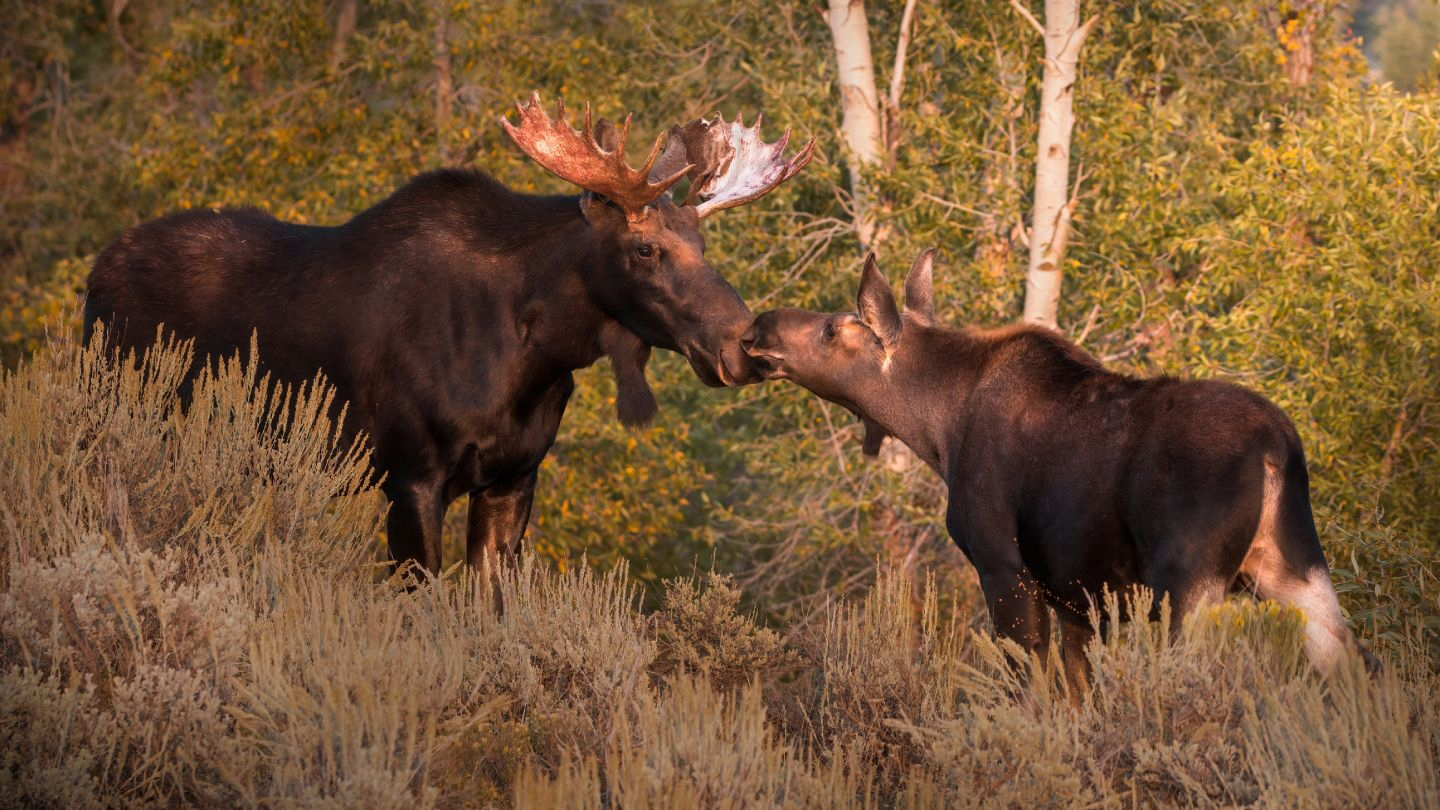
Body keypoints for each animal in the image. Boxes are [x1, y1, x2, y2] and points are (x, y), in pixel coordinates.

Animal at [84, 91, 817, 573]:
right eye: (644, 249)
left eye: (702, 243)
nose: (742, 343)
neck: (533, 359)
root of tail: (96, 274)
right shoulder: (410, 476)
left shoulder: (513, 479)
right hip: (126, 422)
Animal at [748, 247, 1376, 680]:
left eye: (833, 328)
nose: (759, 326)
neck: (938, 432)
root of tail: (1278, 449)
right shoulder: (1079, 599)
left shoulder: (1005, 569)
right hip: (1295, 566)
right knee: (1354, 663)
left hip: (1188, 580)